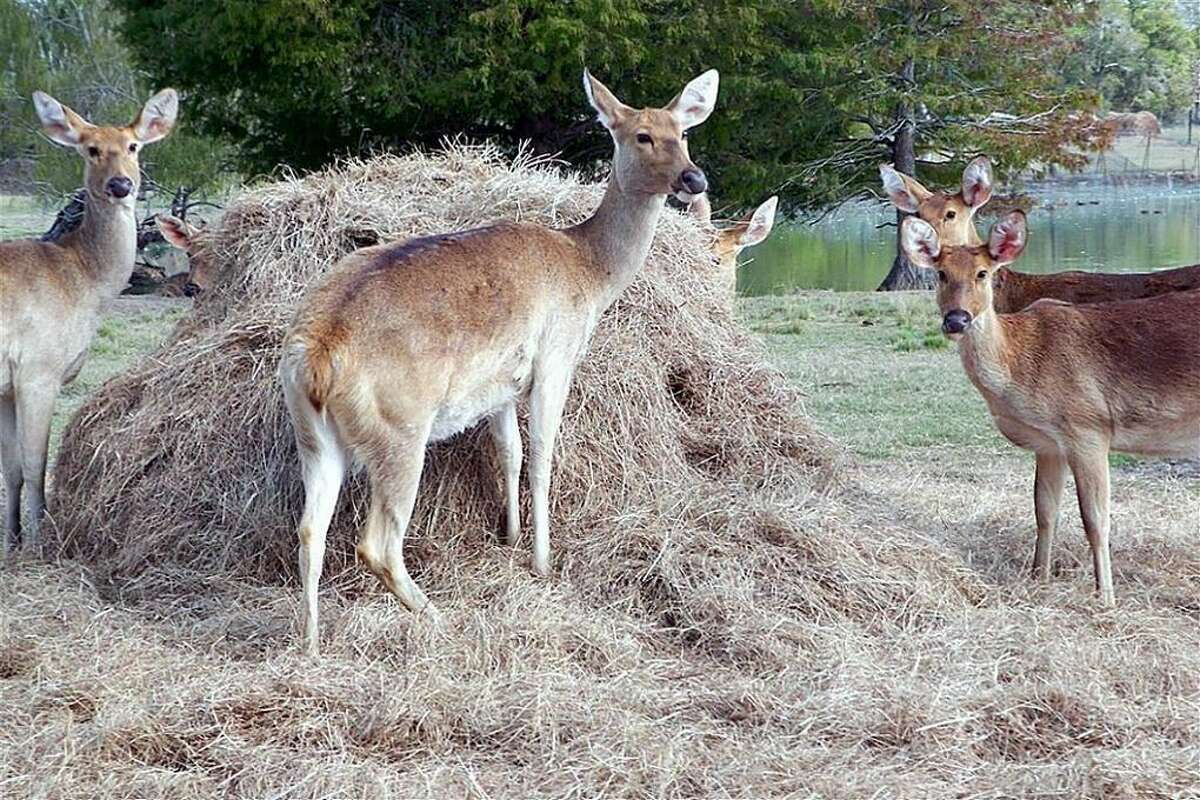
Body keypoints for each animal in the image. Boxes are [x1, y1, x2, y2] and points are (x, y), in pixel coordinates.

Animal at [0, 87, 177, 556]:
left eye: (133, 146)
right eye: (91, 149)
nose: (121, 185)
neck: (82, 283)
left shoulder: (7, 387)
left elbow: (11, 469)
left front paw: (12, 542)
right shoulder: (39, 368)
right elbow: (34, 463)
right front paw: (41, 542)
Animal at [277, 68, 715, 657]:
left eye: (683, 132)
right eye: (641, 135)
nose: (694, 178)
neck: (589, 274)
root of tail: (318, 357)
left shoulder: (500, 387)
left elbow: (509, 452)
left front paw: (508, 539)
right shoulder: (556, 356)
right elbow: (543, 455)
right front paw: (542, 562)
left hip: (313, 436)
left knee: (309, 529)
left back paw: (311, 643)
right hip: (399, 429)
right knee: (376, 543)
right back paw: (436, 616)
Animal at [902, 209, 1200, 604]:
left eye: (983, 273)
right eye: (940, 274)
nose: (956, 319)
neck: (1019, 367)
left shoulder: (1087, 426)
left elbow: (1095, 520)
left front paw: (1105, 596)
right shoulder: (1048, 444)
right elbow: (1044, 510)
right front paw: (1038, 578)